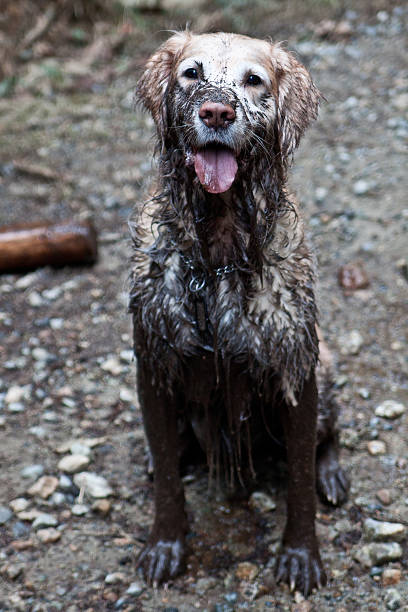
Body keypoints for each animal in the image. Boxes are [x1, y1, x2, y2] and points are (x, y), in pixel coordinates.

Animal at [130, 31, 348, 596]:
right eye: (191, 73)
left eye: (254, 80)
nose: (216, 112)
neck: (218, 257)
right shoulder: (154, 364)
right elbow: (168, 478)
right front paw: (166, 544)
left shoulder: (296, 367)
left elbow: (298, 479)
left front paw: (300, 554)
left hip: (325, 366)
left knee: (327, 438)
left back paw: (333, 473)